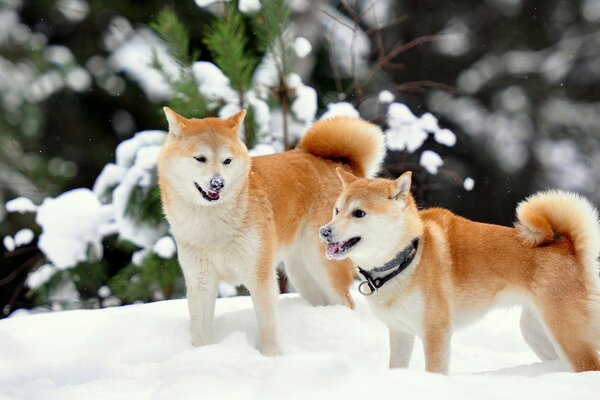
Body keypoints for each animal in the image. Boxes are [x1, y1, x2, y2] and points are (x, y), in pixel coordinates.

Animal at [157, 108, 386, 354]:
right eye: (200, 158)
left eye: (227, 161)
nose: (218, 183)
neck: (213, 227)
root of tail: (340, 166)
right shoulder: (200, 282)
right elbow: (200, 331)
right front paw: (201, 354)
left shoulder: (260, 277)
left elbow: (267, 327)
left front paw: (270, 357)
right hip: (302, 275)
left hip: (324, 268)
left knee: (347, 302)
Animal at [322, 167, 600, 374]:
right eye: (336, 210)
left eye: (359, 213)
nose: (324, 231)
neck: (407, 258)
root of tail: (569, 247)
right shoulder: (401, 332)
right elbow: (396, 367)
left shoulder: (436, 332)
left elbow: (434, 370)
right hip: (537, 333)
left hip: (568, 335)